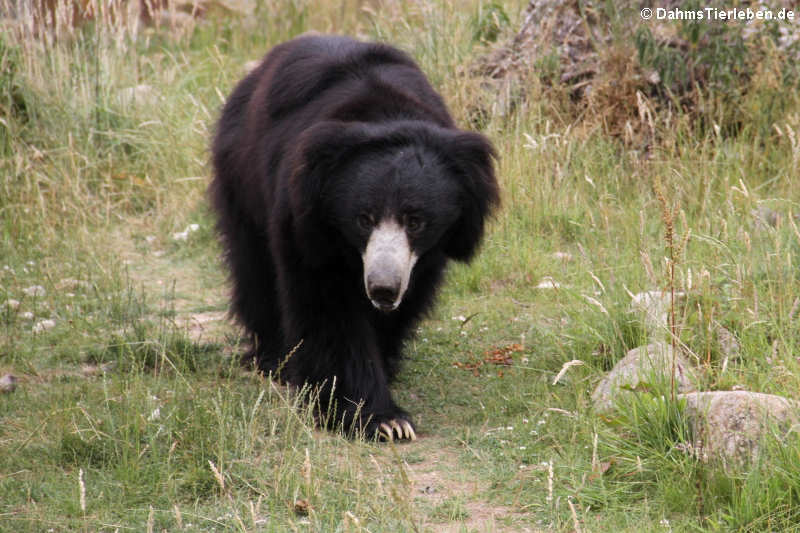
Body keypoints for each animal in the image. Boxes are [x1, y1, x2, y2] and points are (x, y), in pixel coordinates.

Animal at [212, 34, 500, 440]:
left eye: (416, 221)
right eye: (363, 219)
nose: (382, 289)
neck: (385, 115)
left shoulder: (428, 252)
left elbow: (410, 296)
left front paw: (386, 370)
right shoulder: (307, 218)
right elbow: (329, 307)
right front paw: (382, 420)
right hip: (241, 178)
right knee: (255, 268)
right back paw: (273, 359)